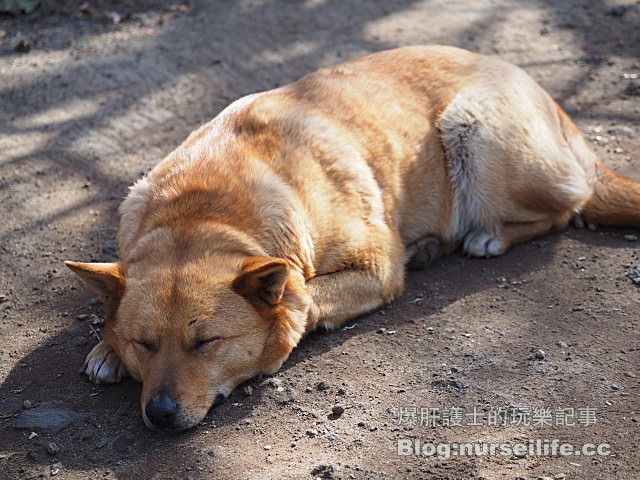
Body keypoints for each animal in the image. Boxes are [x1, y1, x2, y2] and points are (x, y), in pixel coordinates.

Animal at [66, 46, 640, 432]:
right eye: (145, 343)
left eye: (206, 343)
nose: (160, 414)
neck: (203, 209)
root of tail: (546, 96)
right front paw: (107, 347)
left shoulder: (376, 265)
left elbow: (304, 298)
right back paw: (429, 247)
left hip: (473, 130)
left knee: (567, 207)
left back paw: (486, 239)